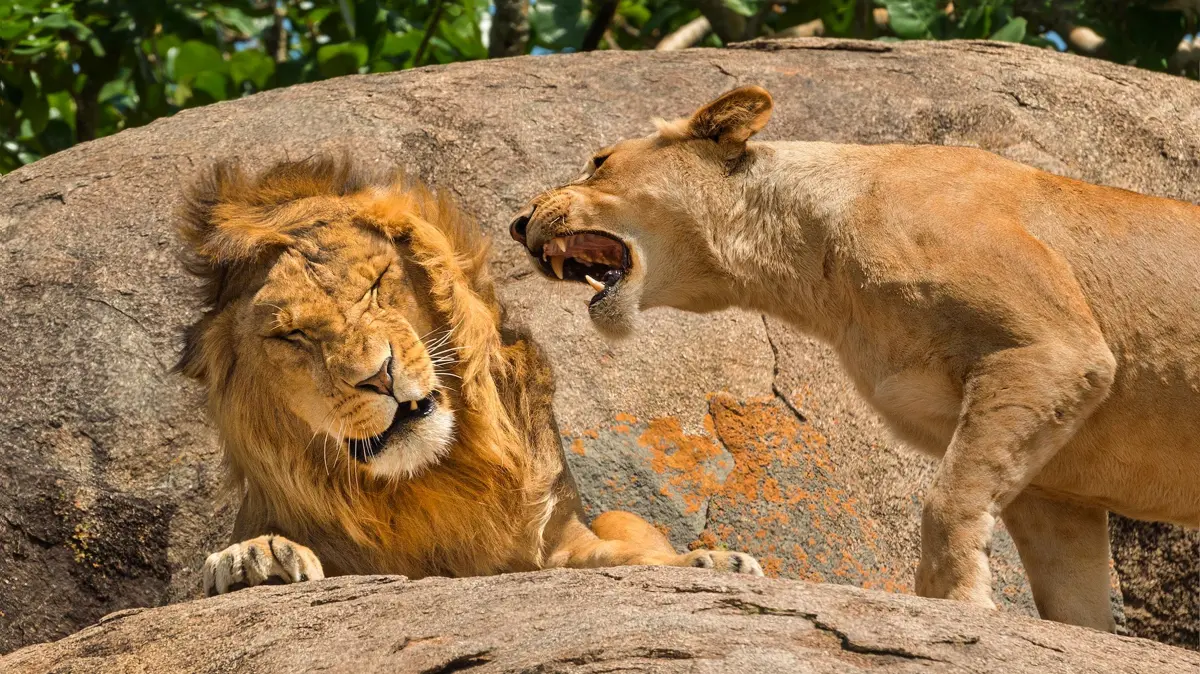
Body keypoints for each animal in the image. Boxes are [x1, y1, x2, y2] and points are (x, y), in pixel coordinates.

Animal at [175, 155, 762, 595]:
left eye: (376, 283)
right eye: (291, 336)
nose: (379, 375)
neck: (431, 479)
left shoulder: (557, 541)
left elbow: (619, 558)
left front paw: (710, 562)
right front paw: (255, 558)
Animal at [508, 86, 1200, 632]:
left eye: (599, 162)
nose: (517, 223)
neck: (813, 266)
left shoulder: (1053, 349)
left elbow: (947, 499)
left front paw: (955, 604)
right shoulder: (1056, 481)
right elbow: (1071, 598)